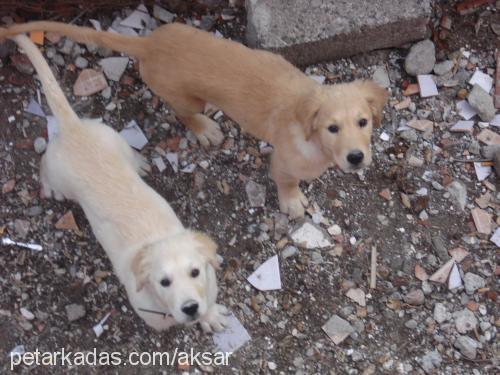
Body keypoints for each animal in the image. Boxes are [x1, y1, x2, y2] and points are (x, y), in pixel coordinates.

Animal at [0, 21, 388, 217]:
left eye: (363, 122)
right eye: (332, 128)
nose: (357, 158)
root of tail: (150, 44)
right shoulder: (283, 161)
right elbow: (287, 182)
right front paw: (292, 203)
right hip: (187, 97)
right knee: (183, 113)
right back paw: (205, 128)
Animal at [9, 32, 227, 332]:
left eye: (195, 272)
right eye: (164, 282)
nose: (191, 307)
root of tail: (73, 127)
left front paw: (210, 316)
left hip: (114, 138)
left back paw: (140, 163)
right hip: (57, 171)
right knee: (44, 166)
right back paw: (51, 187)